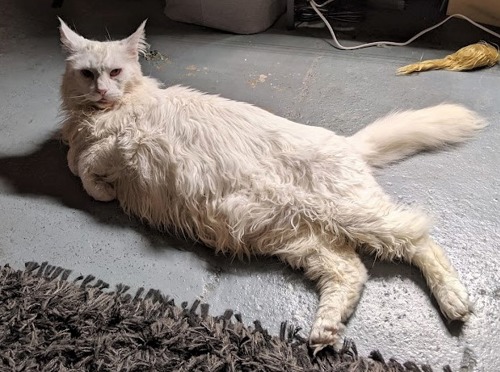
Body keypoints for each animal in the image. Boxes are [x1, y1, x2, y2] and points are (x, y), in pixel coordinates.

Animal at [58, 18, 484, 350]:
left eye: (115, 72)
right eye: (87, 74)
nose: (101, 90)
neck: (103, 111)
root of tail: (348, 144)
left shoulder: (126, 141)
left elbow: (83, 165)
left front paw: (103, 189)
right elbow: (73, 158)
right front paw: (97, 177)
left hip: (353, 214)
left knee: (419, 237)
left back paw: (454, 300)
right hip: (303, 238)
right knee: (352, 272)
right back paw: (325, 330)